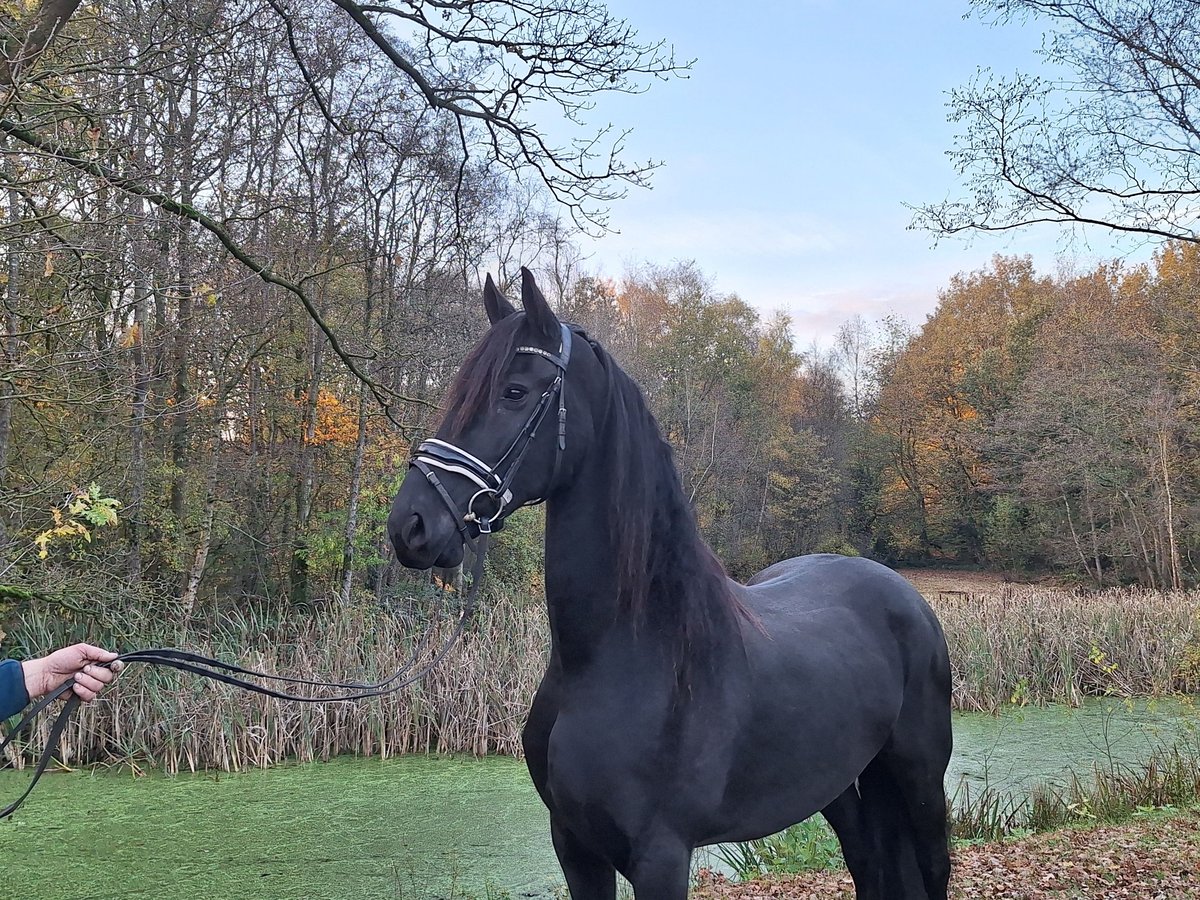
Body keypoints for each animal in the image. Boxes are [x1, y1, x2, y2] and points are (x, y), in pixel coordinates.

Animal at [388, 268, 953, 900]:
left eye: (513, 391)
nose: (411, 524)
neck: (631, 652)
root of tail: (904, 593)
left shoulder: (662, 856)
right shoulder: (575, 846)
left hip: (920, 778)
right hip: (839, 786)